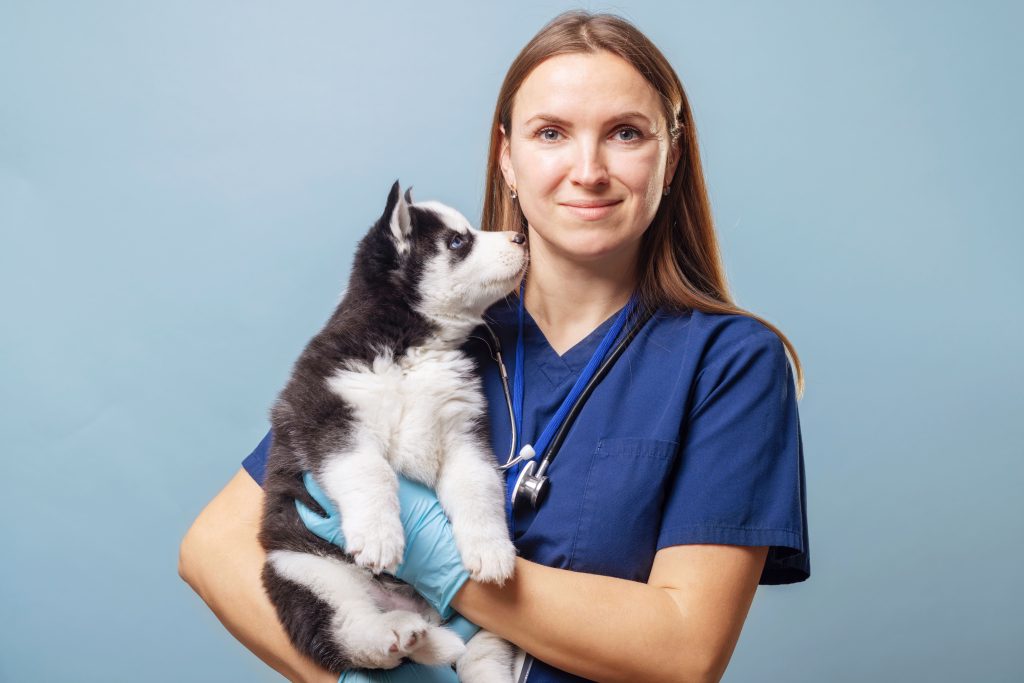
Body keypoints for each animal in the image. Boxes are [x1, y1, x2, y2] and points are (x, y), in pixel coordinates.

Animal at [256, 179, 528, 679]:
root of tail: (418, 612)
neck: (412, 347)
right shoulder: (328, 416)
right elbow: (371, 471)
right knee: (349, 633)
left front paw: (491, 548)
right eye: (457, 241)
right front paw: (380, 535)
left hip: (482, 626)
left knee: (482, 652)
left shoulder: (463, 432)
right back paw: (393, 633)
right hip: (301, 569)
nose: (520, 238)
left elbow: (478, 486)